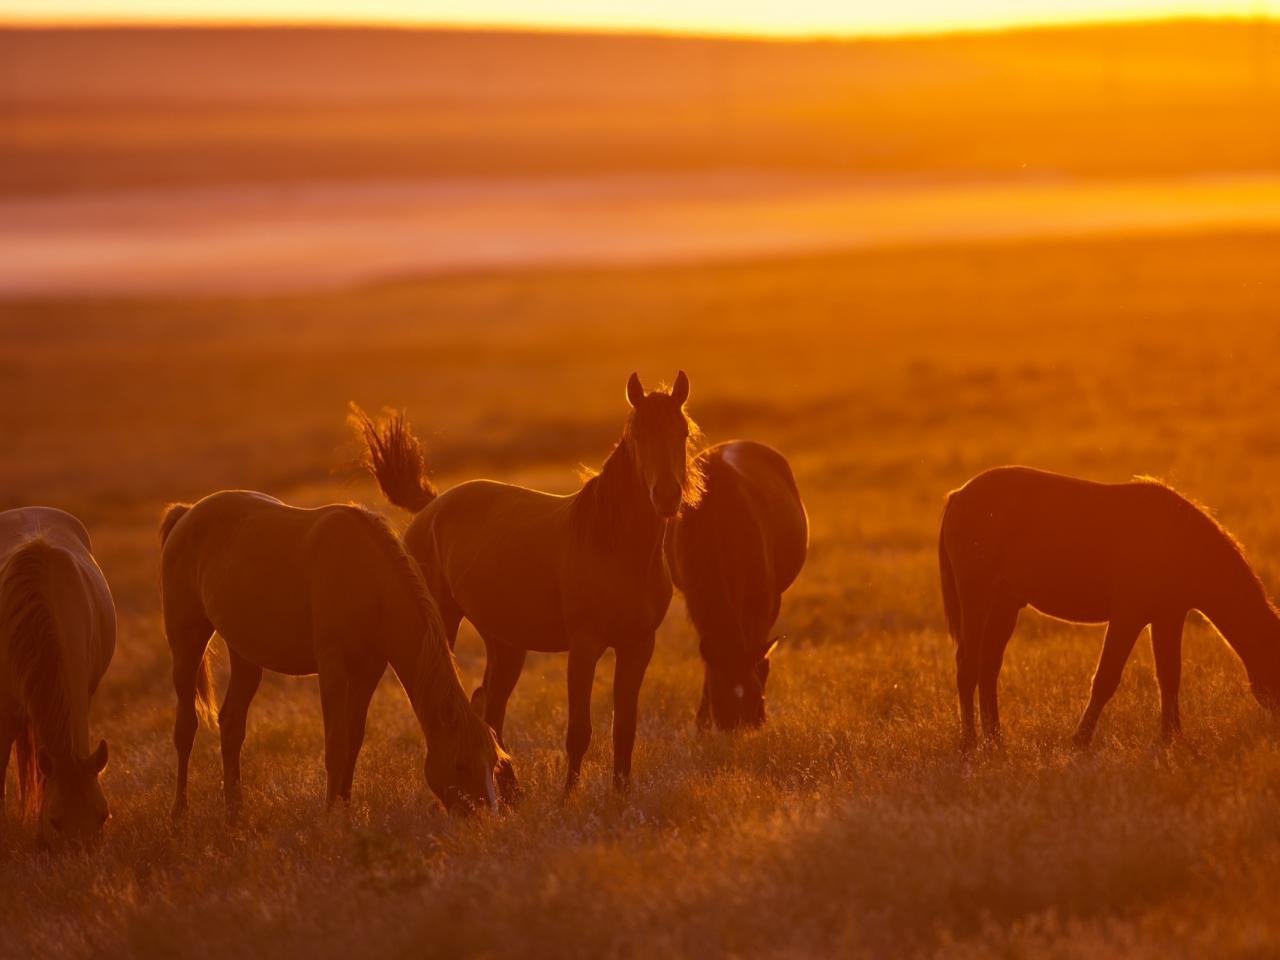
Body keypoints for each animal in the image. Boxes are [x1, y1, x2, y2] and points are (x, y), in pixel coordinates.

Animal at [156, 491, 504, 814]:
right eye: (461, 764)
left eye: (492, 762)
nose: (483, 816)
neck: (369, 582)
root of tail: (186, 513)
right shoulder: (333, 669)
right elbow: (335, 745)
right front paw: (330, 816)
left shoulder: (368, 672)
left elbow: (353, 740)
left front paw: (345, 809)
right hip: (187, 643)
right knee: (186, 727)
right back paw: (179, 814)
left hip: (245, 654)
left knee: (231, 725)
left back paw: (234, 814)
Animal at [355, 373, 706, 798]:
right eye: (637, 434)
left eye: (683, 432)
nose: (667, 496)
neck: (615, 547)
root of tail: (430, 507)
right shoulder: (585, 645)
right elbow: (579, 730)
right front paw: (567, 799)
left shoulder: (638, 645)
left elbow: (624, 728)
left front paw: (620, 797)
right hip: (446, 624)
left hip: (506, 644)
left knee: (489, 706)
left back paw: (512, 791)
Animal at [665, 442, 803, 727]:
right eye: (720, 695)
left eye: (753, 695)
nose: (738, 724)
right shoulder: (694, 599)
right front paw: (702, 721)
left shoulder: (764, 598)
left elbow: (758, 648)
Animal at [936, 465, 1280, 752]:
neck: (1180, 542)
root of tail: (958, 496)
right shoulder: (1128, 616)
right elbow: (1106, 679)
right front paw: (1079, 741)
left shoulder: (1168, 617)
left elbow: (1170, 676)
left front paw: (1171, 739)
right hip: (977, 596)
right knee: (967, 663)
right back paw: (969, 744)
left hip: (1005, 605)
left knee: (988, 666)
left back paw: (995, 739)